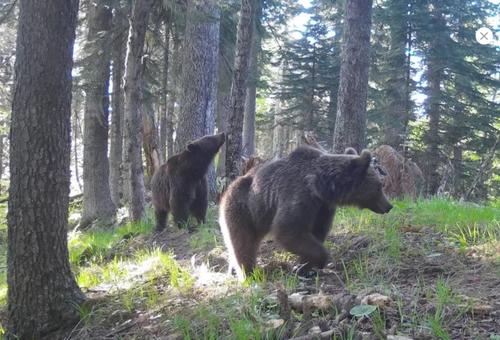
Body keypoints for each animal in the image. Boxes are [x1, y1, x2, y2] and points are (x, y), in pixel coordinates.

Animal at [221, 145, 392, 280]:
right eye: (379, 186)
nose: (389, 206)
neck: (321, 187)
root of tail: (227, 190)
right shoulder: (298, 194)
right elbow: (288, 230)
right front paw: (318, 262)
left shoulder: (323, 207)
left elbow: (316, 232)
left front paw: (304, 266)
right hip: (243, 209)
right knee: (243, 243)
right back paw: (249, 272)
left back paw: (233, 270)